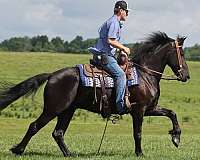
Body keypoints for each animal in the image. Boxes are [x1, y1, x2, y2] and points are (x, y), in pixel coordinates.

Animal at [0, 31, 190, 157]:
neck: (145, 74)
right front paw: (140, 153)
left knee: (58, 133)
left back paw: (69, 154)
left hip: (67, 110)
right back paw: (18, 150)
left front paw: (176, 137)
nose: (186, 76)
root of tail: (52, 75)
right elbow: (138, 133)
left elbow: (172, 113)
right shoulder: (139, 110)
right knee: (34, 126)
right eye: (181, 53)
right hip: (53, 109)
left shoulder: (150, 108)